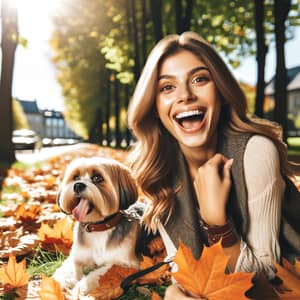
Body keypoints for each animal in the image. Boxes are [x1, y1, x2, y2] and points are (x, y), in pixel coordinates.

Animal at [53, 157, 142, 296]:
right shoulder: (78, 255)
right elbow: (69, 267)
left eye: (97, 178)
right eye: (76, 177)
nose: (78, 185)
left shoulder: (126, 263)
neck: (99, 227)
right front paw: (61, 281)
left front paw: (82, 287)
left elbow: (100, 273)